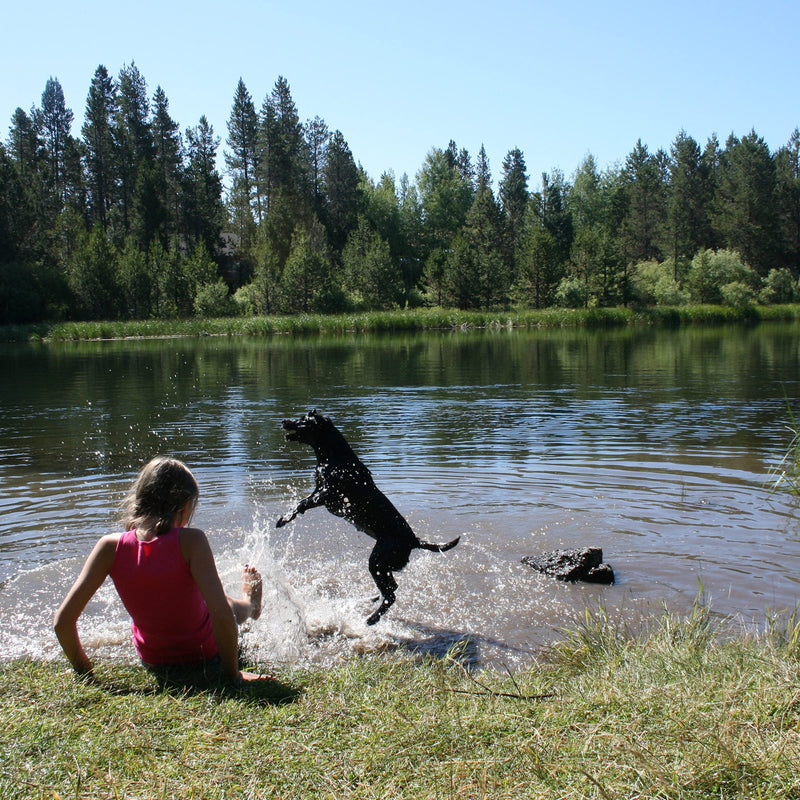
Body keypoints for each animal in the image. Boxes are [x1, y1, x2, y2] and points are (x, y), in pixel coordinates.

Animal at [278, 412, 460, 624]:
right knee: (390, 590)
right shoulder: (319, 492)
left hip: (377, 562)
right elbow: (302, 503)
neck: (334, 456)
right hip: (383, 565)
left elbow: (301, 503)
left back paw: (372, 618)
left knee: (392, 593)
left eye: (304, 419)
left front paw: (284, 518)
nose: (284, 421)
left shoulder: (328, 494)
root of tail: (414, 540)